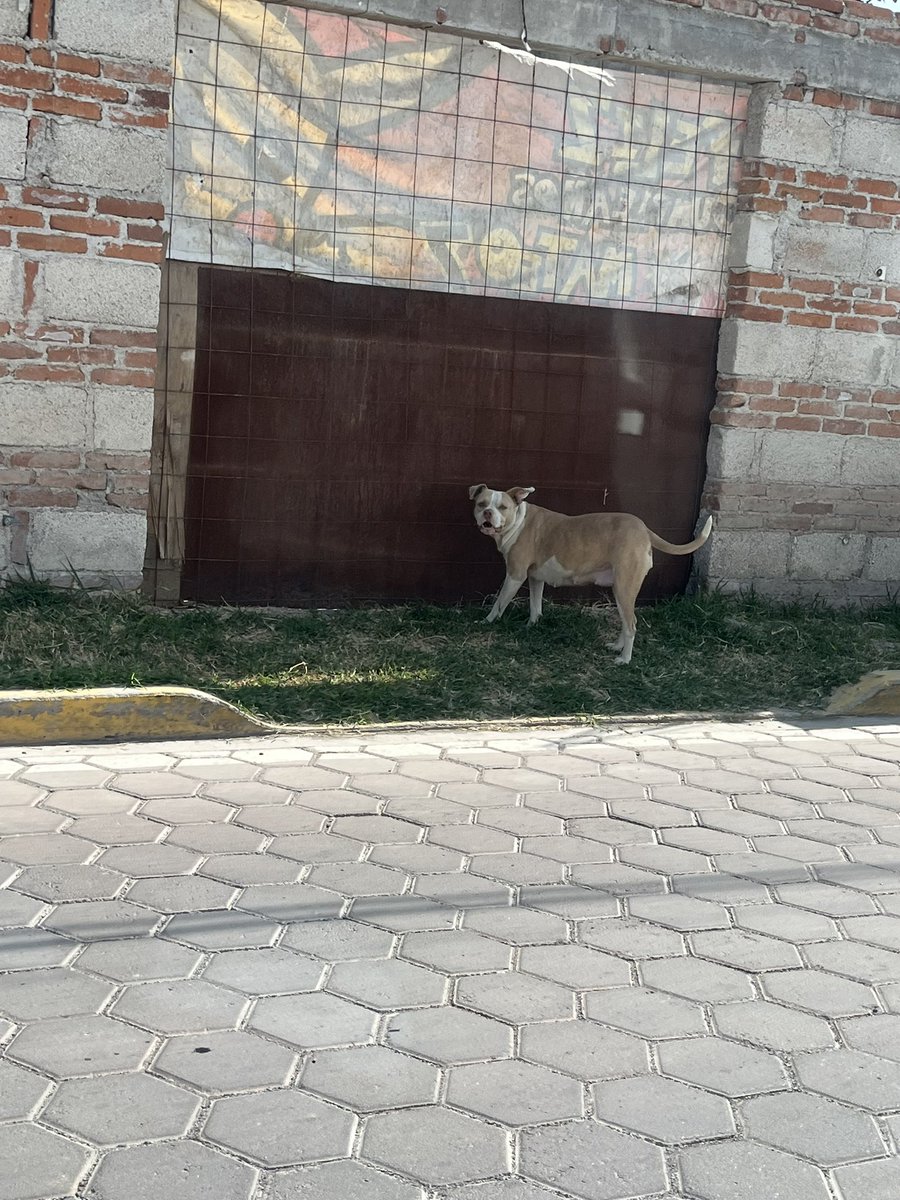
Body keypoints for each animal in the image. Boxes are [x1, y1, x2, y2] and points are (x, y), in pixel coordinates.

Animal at [472, 482, 710, 667]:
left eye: (502, 507)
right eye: (481, 504)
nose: (487, 513)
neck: (518, 521)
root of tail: (643, 529)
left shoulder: (515, 575)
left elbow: (499, 603)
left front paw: (486, 621)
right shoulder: (535, 578)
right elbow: (535, 606)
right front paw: (532, 625)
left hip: (625, 586)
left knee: (631, 624)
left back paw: (625, 658)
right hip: (620, 590)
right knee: (625, 620)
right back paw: (617, 646)